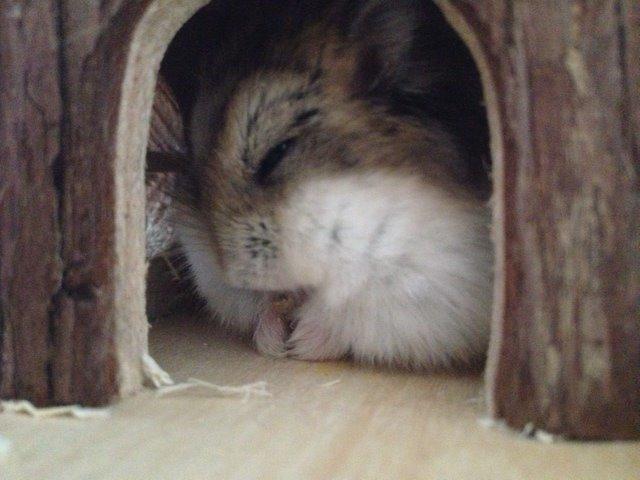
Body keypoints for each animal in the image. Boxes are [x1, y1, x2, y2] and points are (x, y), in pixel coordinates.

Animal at [171, 0, 493, 369]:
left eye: (277, 153)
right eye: (193, 161)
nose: (234, 276)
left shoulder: (428, 283)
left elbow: (350, 313)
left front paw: (299, 342)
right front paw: (272, 339)